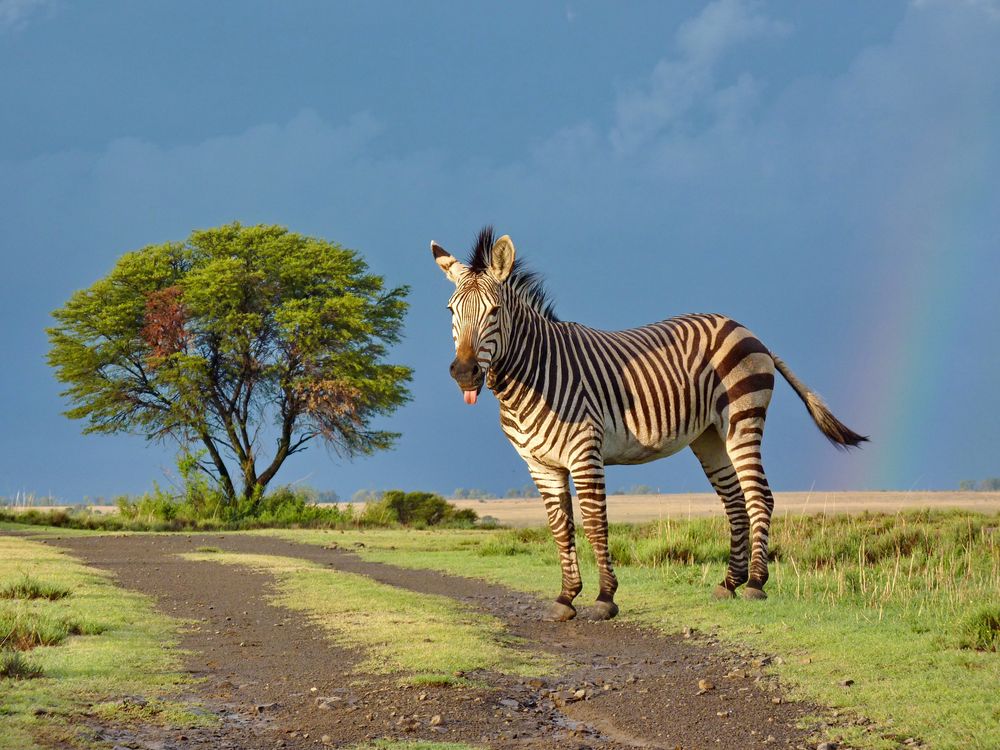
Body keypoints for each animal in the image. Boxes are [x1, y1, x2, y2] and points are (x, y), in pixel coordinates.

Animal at [430, 228, 868, 624]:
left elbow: (594, 524)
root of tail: (745, 329)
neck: (533, 377)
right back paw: (729, 583)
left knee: (760, 496)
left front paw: (605, 598)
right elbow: (560, 528)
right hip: (709, 437)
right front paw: (565, 598)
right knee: (735, 501)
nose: (465, 373)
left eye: (493, 312)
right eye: (451, 311)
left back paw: (756, 585)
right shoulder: (539, 465)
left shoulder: (585, 453)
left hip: (741, 421)